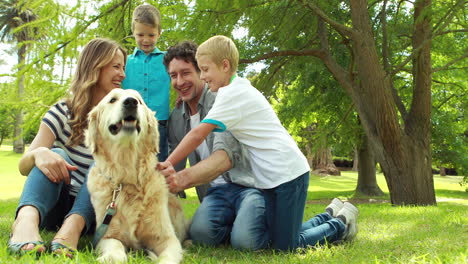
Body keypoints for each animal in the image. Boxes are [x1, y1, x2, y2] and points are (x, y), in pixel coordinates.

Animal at [85, 89, 187, 264]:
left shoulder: (167, 238)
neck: (128, 178)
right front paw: (111, 257)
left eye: (139, 100)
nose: (131, 102)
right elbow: (116, 251)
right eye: (112, 100)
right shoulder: (107, 235)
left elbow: (167, 257)